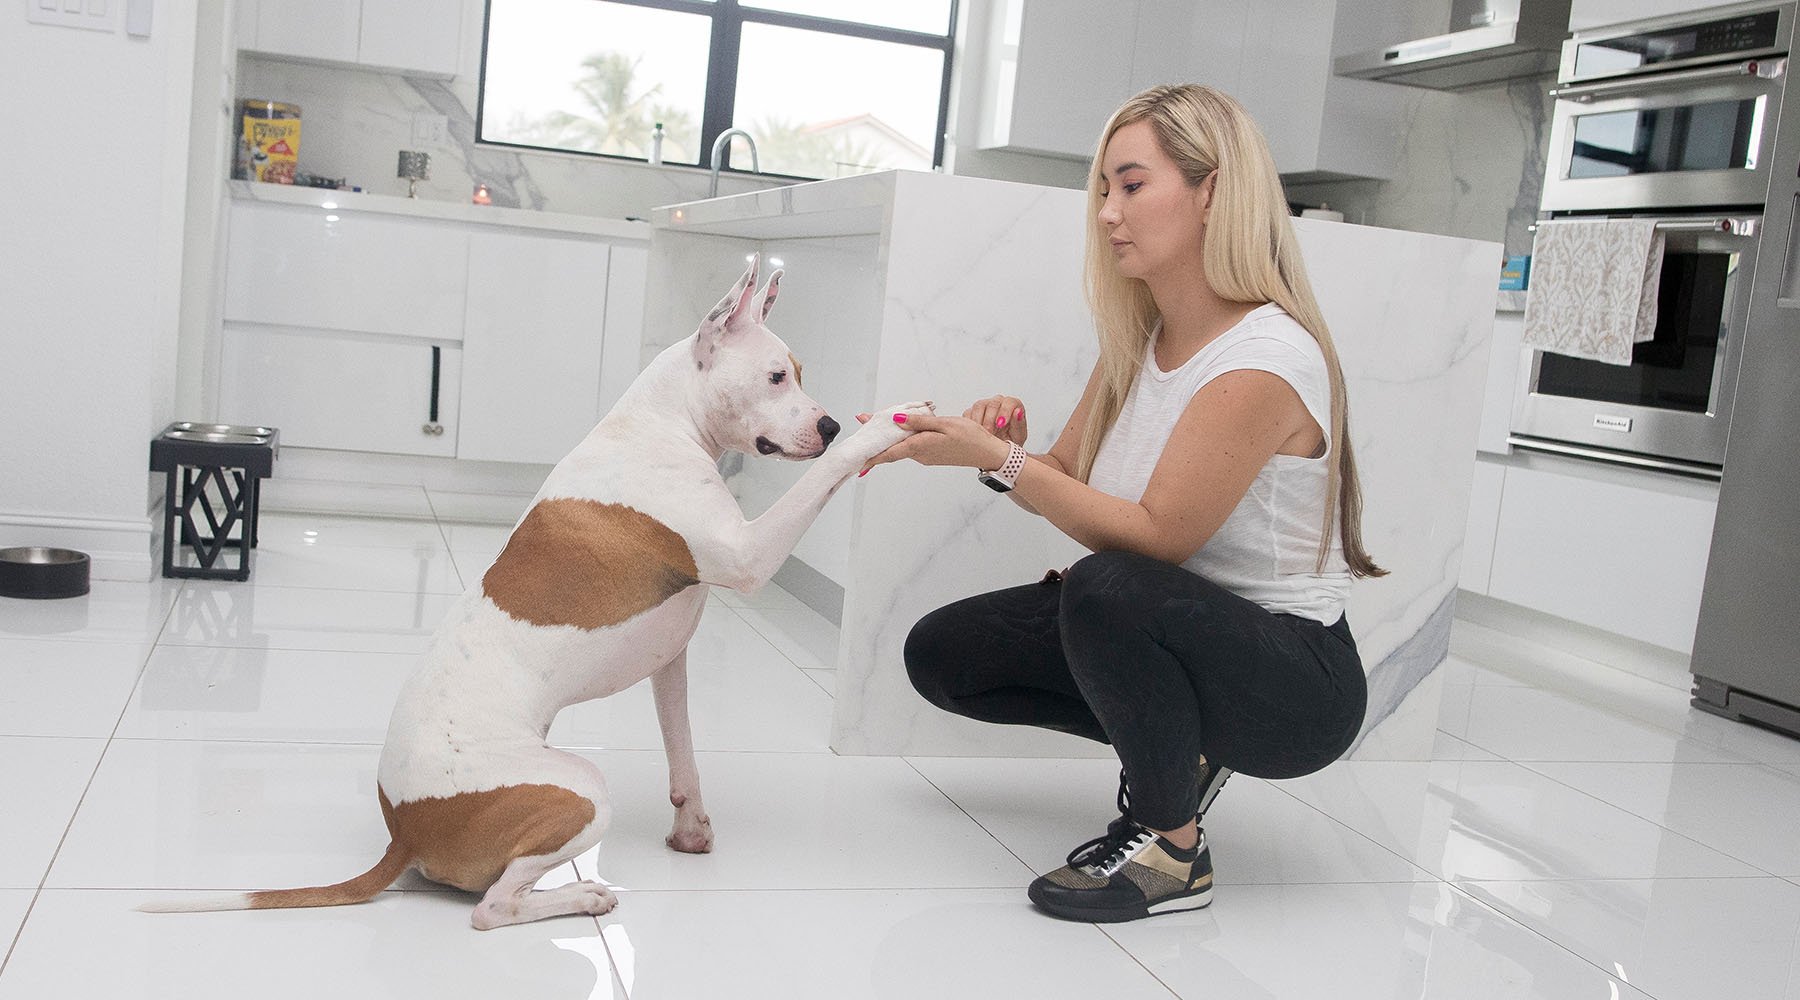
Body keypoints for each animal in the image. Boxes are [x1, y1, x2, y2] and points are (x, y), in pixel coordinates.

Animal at [140, 253, 928, 928]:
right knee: (493, 908)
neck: (663, 424)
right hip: (582, 790)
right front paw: (887, 428)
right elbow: (823, 480)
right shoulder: (749, 556)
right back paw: (580, 899)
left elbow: (685, 752)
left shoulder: (669, 661)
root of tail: (404, 828)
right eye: (772, 378)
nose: (828, 423)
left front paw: (691, 827)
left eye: (797, 373)